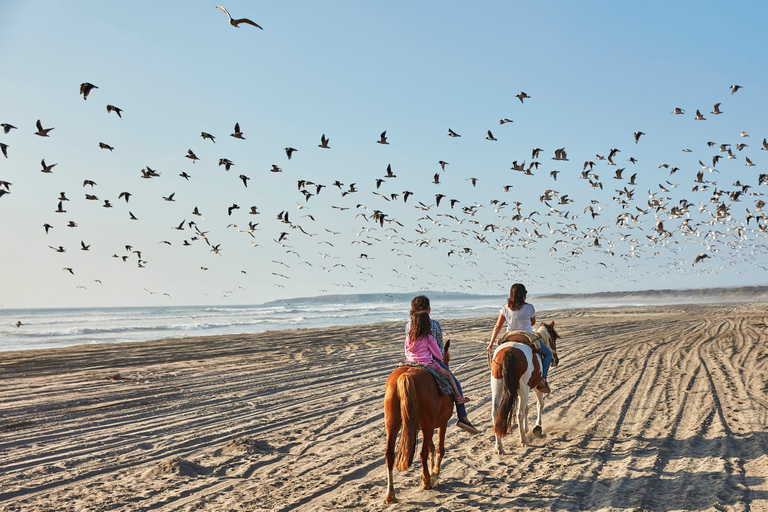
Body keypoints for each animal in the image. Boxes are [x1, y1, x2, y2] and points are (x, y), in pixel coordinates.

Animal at [492, 322, 560, 454]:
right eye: (553, 339)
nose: (556, 360)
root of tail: (509, 352)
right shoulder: (536, 387)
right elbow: (539, 404)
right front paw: (537, 427)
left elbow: (527, 408)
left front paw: (527, 429)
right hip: (523, 389)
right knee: (519, 413)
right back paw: (523, 440)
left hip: (497, 387)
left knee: (495, 413)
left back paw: (499, 446)